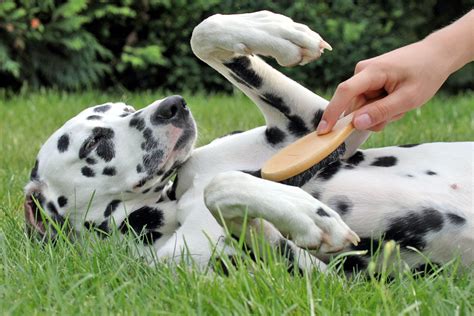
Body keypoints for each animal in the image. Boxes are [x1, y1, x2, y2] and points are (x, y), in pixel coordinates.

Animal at [24, 11, 472, 274]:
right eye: (93, 143)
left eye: (124, 107)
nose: (172, 106)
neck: (170, 205)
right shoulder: (318, 278)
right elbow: (223, 189)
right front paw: (308, 214)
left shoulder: (308, 128)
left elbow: (201, 31)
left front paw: (277, 30)